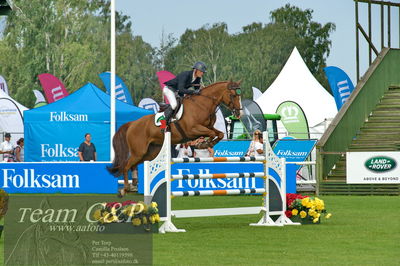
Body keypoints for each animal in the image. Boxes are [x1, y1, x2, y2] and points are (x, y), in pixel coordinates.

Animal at [107, 80, 241, 196]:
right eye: (233, 95)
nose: (239, 113)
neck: (202, 104)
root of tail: (132, 124)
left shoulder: (208, 127)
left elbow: (219, 134)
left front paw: (208, 144)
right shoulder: (193, 129)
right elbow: (212, 134)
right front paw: (204, 144)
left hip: (149, 152)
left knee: (134, 165)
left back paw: (134, 184)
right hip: (139, 152)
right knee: (126, 166)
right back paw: (124, 189)